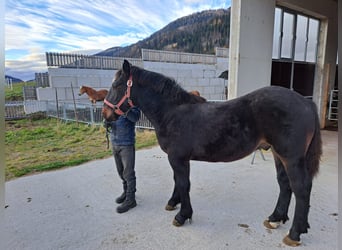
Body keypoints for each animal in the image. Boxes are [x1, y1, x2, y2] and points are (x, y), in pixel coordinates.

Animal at [103, 59, 322, 247]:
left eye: (116, 85)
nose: (105, 115)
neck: (172, 113)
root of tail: (307, 103)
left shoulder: (178, 158)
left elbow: (183, 184)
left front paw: (182, 215)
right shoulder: (176, 159)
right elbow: (177, 181)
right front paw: (173, 203)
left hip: (291, 158)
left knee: (301, 188)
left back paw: (294, 233)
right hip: (279, 155)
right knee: (285, 184)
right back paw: (276, 218)